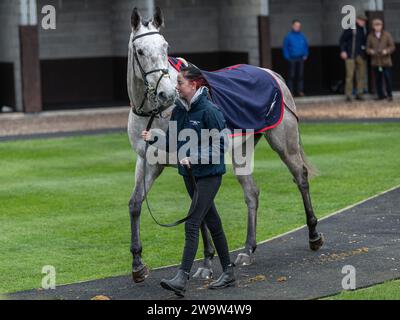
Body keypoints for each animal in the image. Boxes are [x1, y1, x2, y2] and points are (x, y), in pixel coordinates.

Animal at [126, 6, 324, 282]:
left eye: (165, 47)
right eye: (141, 51)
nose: (167, 94)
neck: (156, 114)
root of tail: (271, 73)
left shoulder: (188, 164)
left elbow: (199, 208)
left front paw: (207, 263)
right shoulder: (147, 161)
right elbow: (135, 204)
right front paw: (138, 265)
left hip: (284, 143)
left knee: (300, 177)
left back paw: (314, 235)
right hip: (242, 151)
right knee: (251, 192)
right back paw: (248, 249)